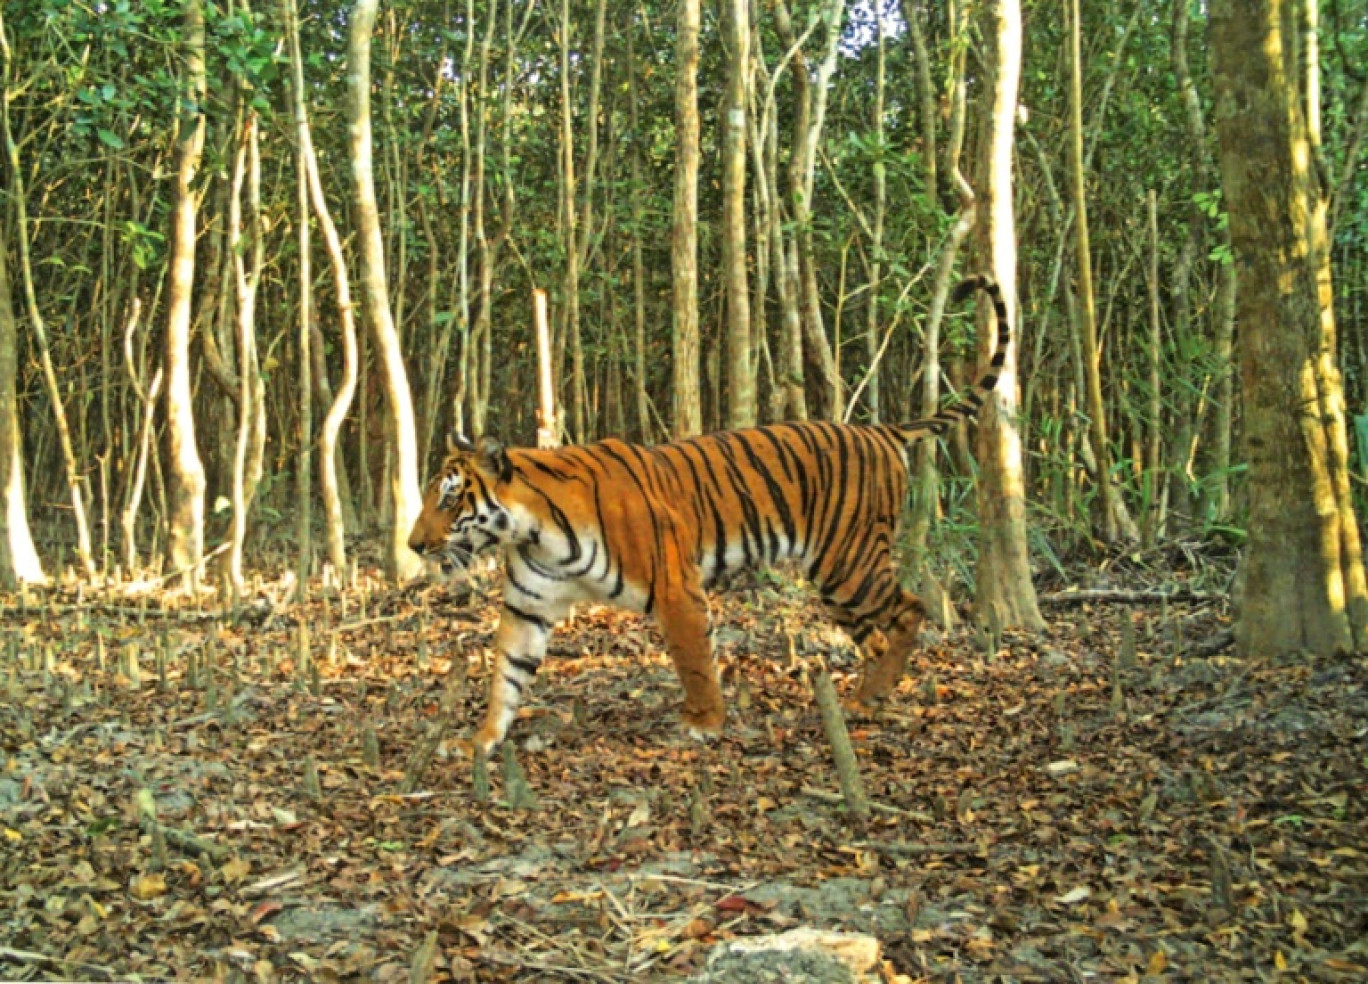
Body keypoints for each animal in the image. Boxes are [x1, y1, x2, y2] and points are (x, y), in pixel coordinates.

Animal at [404, 276, 1006, 755]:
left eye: (450, 498)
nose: (413, 546)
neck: (533, 531)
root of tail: (881, 430)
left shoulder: (677, 588)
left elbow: (694, 659)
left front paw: (705, 724)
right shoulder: (528, 606)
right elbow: (505, 675)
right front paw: (479, 741)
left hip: (850, 565)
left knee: (911, 609)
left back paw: (874, 694)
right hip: (839, 581)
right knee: (877, 635)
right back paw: (864, 699)